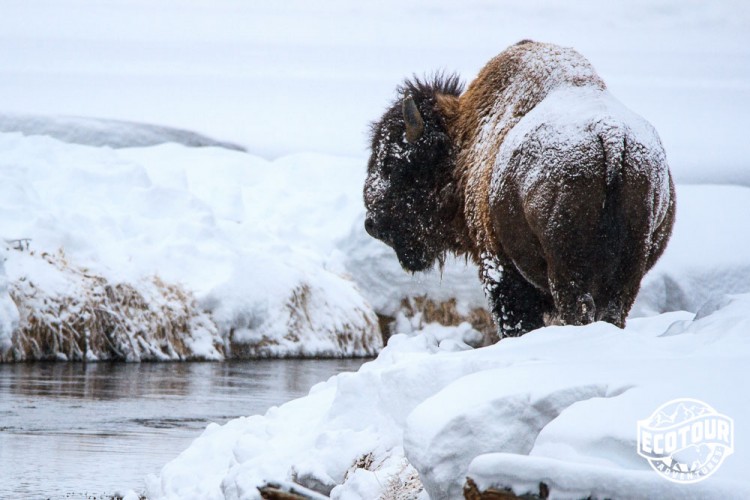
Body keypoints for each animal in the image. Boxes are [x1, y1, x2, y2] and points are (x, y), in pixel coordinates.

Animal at [364, 41, 676, 338]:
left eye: (393, 164)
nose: (371, 224)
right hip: (628, 271)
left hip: (567, 275)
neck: (464, 142)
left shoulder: (498, 270)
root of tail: (610, 136)